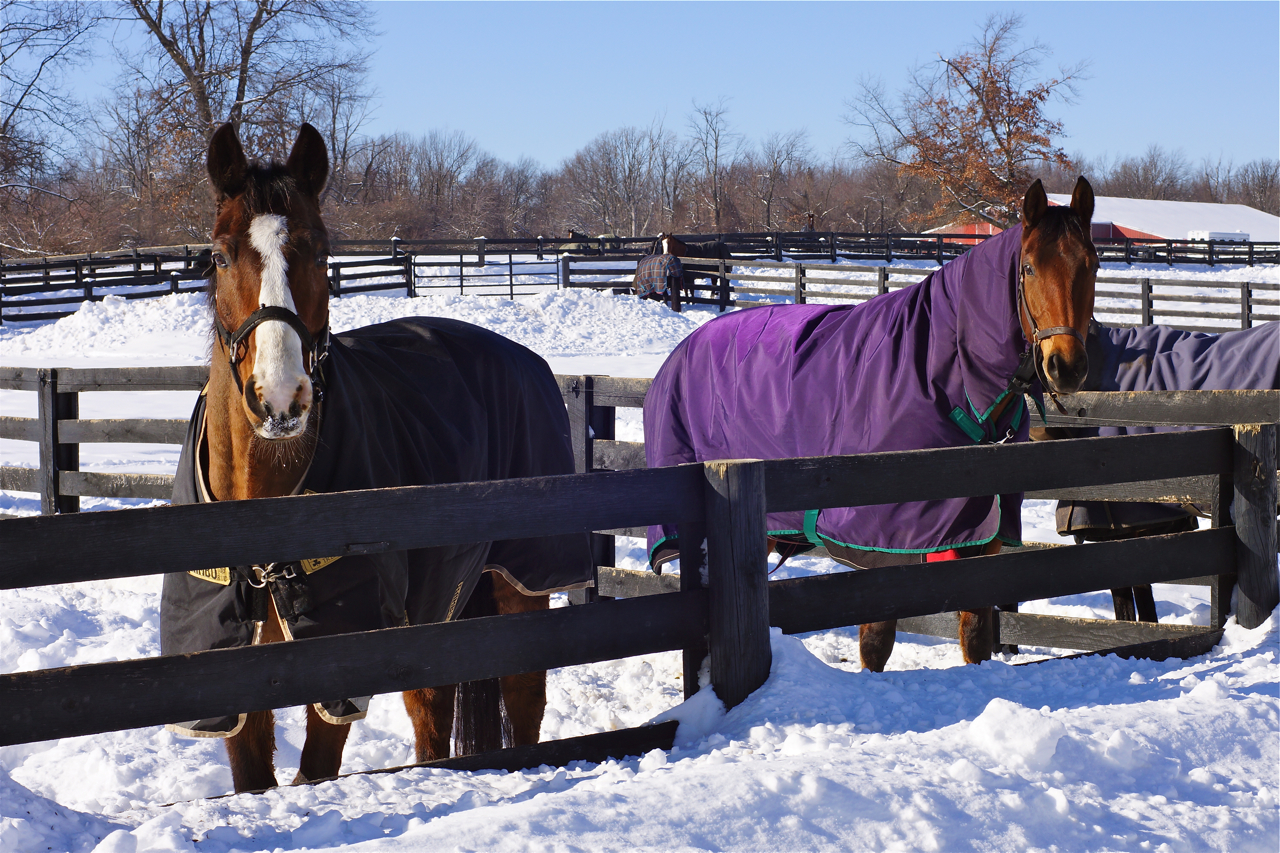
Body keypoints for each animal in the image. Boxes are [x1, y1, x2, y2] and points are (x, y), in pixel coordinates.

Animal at [160, 122, 593, 794]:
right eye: (222, 254)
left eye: (319, 252)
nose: (280, 397)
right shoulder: (230, 673)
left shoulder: (341, 661)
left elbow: (315, 771)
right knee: (432, 714)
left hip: (519, 585)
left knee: (523, 701)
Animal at [650, 178, 1100, 671]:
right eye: (1030, 268)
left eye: (1093, 265)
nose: (1067, 366)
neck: (944, 375)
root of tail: (681, 350)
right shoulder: (881, 553)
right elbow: (876, 645)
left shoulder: (980, 545)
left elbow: (977, 641)